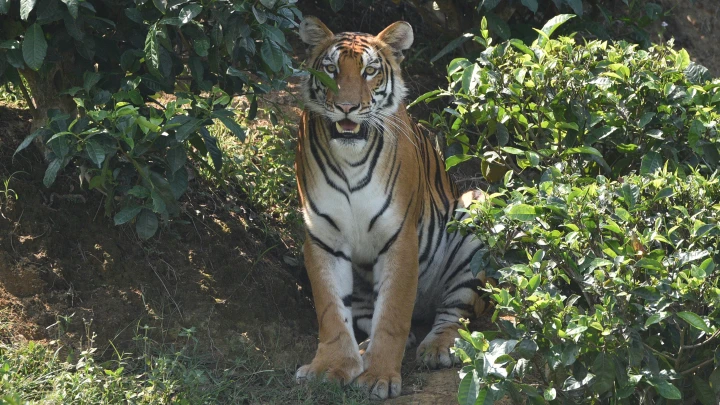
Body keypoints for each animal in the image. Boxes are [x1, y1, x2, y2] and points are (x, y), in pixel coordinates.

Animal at [294, 16, 490, 400]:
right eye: (330, 69)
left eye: (369, 71)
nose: (347, 107)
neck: (350, 157)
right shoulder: (323, 238)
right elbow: (330, 309)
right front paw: (330, 368)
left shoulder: (399, 238)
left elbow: (393, 315)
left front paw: (378, 377)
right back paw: (363, 349)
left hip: (476, 211)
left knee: (455, 311)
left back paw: (438, 348)